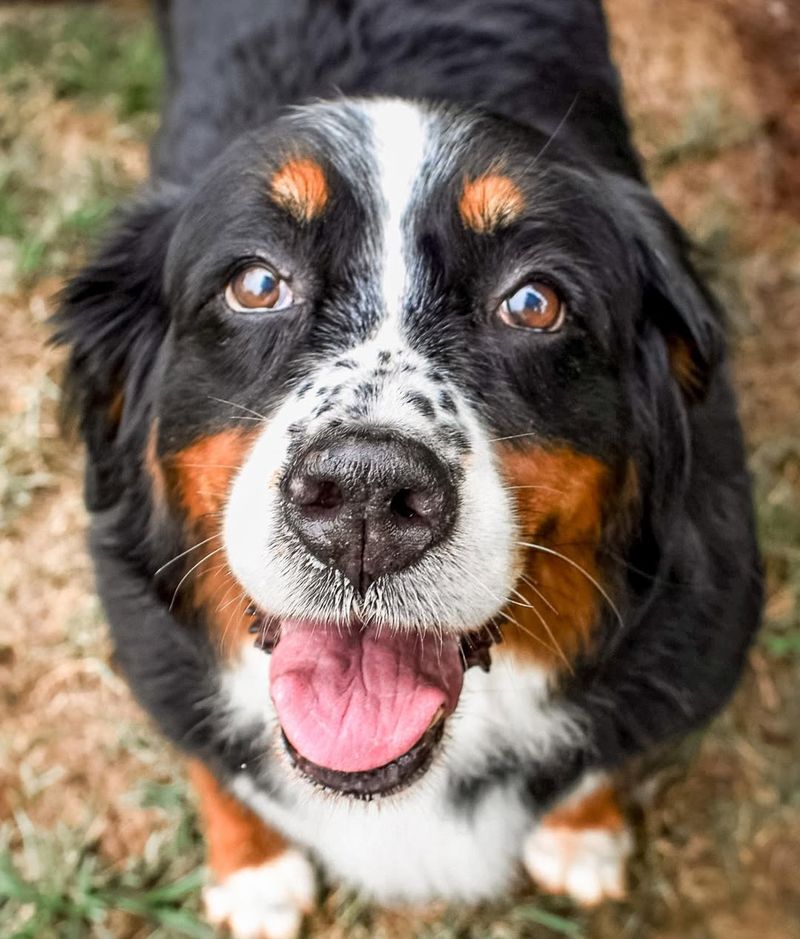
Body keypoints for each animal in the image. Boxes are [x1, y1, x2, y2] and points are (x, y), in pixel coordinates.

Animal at [51, 0, 764, 936]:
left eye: (533, 301)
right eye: (255, 283)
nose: (363, 495)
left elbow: (601, 761)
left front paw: (583, 834)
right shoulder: (147, 634)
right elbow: (213, 761)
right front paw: (253, 870)